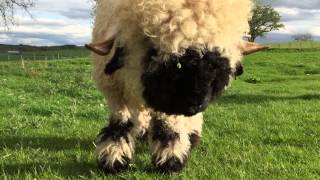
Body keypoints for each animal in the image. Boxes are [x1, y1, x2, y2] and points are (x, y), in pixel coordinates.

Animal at [86, 0, 266, 174]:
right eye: (177, 64)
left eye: (217, 66)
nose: (196, 104)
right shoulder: (116, 89)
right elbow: (122, 120)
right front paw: (114, 157)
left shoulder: (170, 102)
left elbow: (169, 123)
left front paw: (170, 159)